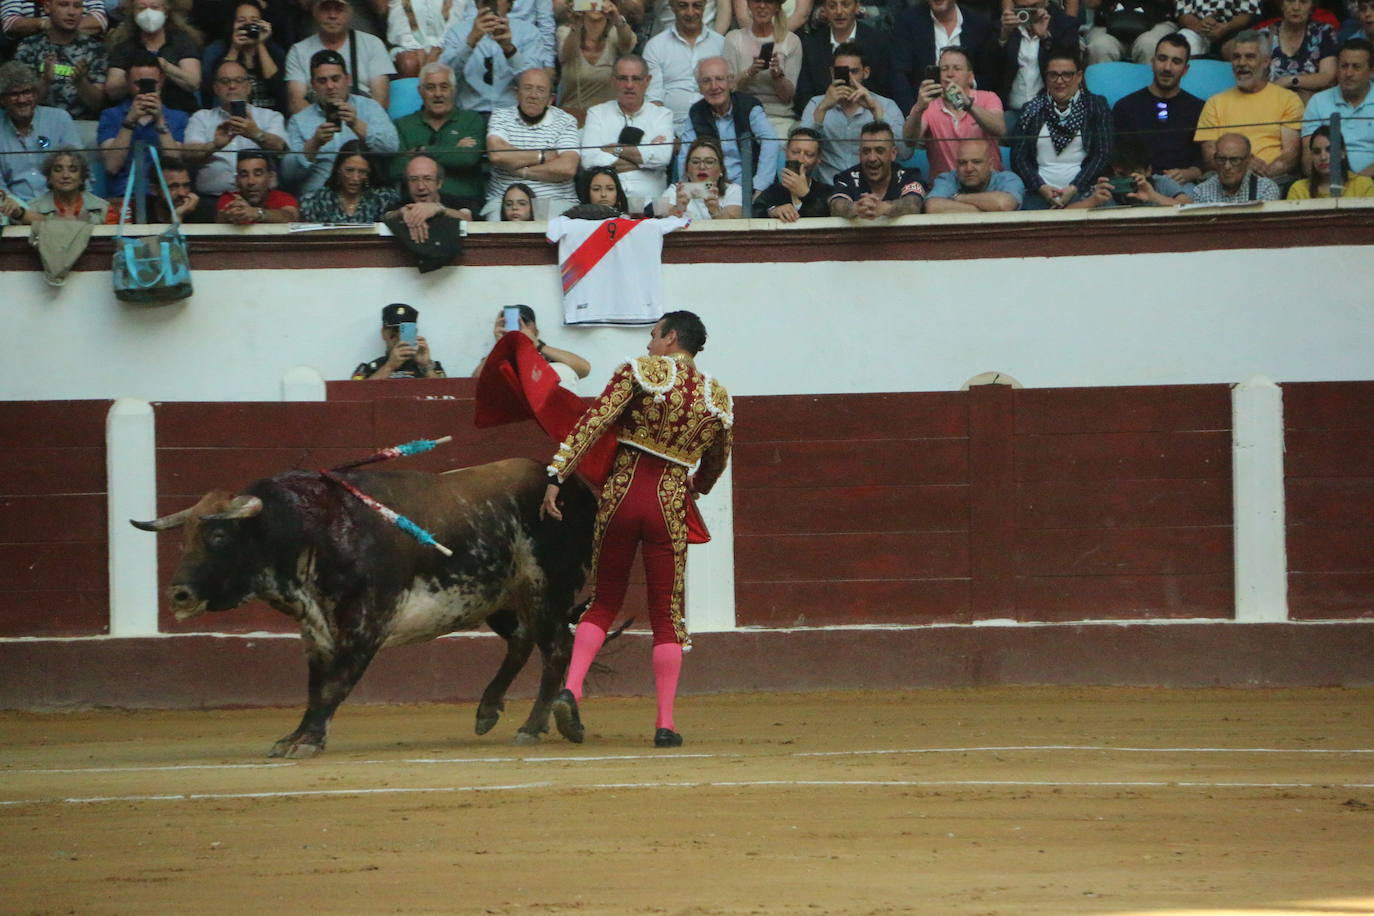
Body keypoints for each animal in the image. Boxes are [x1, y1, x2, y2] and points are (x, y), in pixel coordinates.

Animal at [129, 458, 596, 758]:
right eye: (184, 539)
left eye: (220, 537)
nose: (178, 595)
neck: (311, 530)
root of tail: (573, 486)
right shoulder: (317, 630)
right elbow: (316, 686)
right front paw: (297, 737)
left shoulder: (365, 626)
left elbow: (334, 686)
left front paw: (306, 741)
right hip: (496, 597)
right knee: (521, 640)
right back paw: (489, 711)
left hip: (545, 591)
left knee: (555, 649)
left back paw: (531, 726)